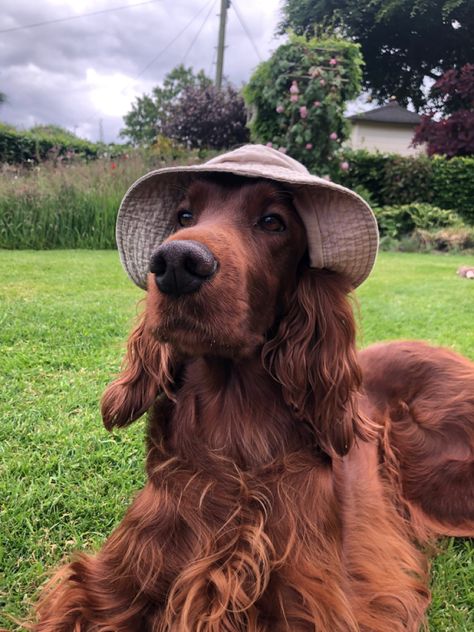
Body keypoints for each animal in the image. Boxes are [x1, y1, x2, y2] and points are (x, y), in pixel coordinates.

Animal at [34, 146, 474, 628]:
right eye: (184, 215)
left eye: (272, 222)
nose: (176, 263)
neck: (232, 422)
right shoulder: (111, 582)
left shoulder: (309, 600)